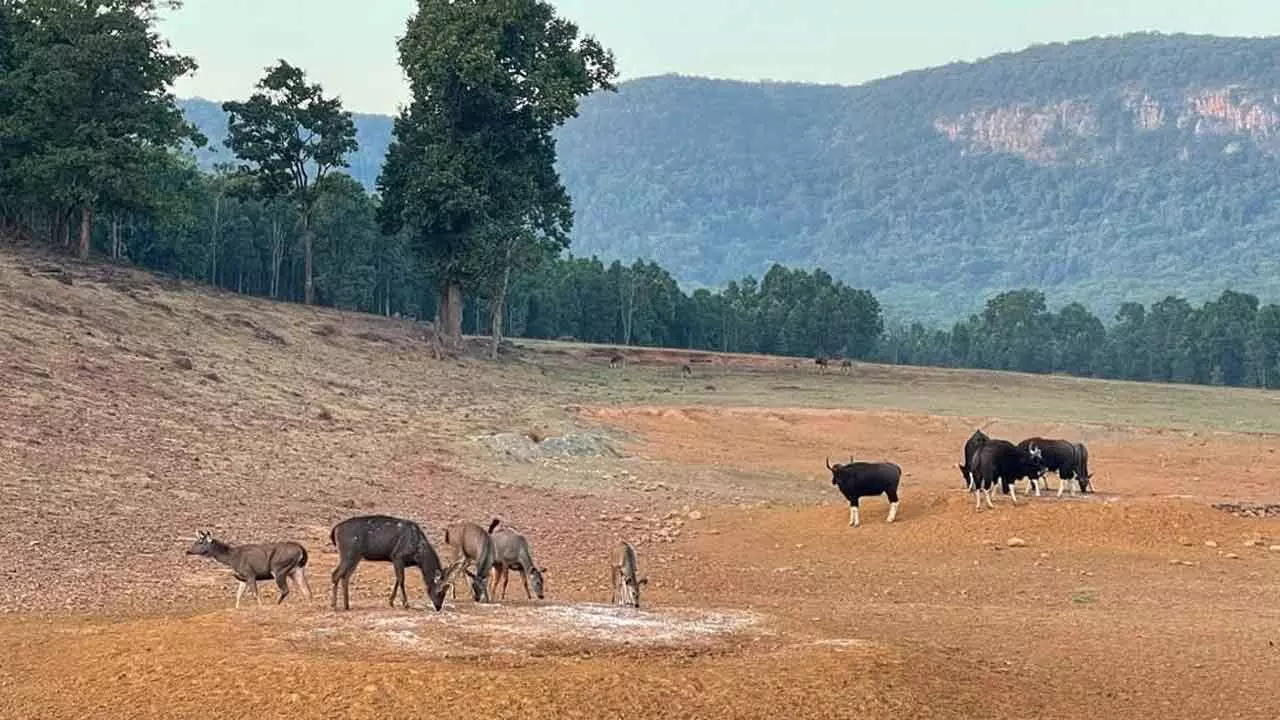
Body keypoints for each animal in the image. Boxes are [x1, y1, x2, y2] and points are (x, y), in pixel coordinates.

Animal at [327, 512, 458, 607]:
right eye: (440, 591)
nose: (438, 607)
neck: (419, 556)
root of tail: (335, 530)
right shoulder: (397, 556)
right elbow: (401, 580)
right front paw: (405, 603)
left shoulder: (398, 561)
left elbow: (397, 580)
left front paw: (391, 601)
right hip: (349, 553)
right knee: (335, 574)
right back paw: (334, 604)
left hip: (356, 557)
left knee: (345, 577)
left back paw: (346, 605)